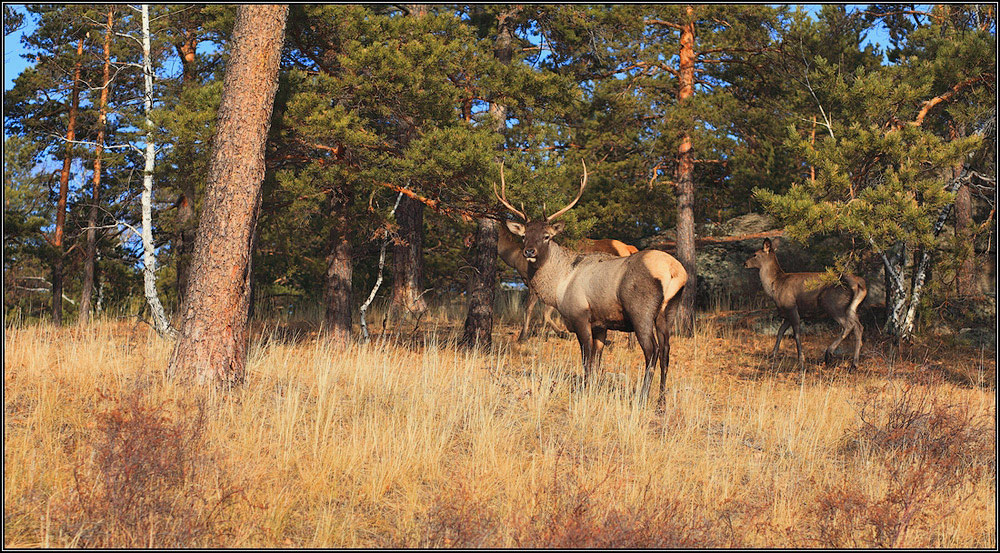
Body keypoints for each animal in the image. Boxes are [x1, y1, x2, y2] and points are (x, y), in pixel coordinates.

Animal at [494, 158, 688, 402]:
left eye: (547, 236)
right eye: (524, 235)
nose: (529, 251)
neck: (559, 285)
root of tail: (674, 272)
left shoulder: (580, 315)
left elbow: (586, 359)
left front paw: (584, 391)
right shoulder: (601, 323)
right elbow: (597, 360)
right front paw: (594, 388)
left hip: (640, 311)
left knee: (652, 351)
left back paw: (643, 397)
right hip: (669, 310)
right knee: (667, 350)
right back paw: (661, 399)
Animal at [744, 238, 868, 370]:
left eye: (755, 254)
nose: (744, 263)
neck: (775, 285)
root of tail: (858, 283)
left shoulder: (791, 307)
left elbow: (797, 334)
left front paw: (801, 359)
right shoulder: (787, 313)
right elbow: (780, 332)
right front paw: (773, 354)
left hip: (833, 304)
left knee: (849, 326)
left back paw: (829, 354)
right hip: (851, 309)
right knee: (859, 327)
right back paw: (854, 363)